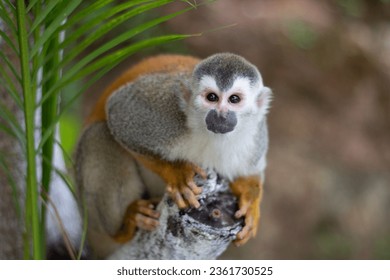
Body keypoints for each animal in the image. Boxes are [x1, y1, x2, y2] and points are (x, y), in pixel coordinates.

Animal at [76, 53, 272, 258]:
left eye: (234, 99)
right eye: (212, 97)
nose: (221, 115)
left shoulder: (256, 134)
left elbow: (250, 172)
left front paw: (250, 204)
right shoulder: (167, 109)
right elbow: (118, 113)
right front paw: (177, 174)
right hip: (91, 219)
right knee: (98, 135)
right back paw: (125, 227)